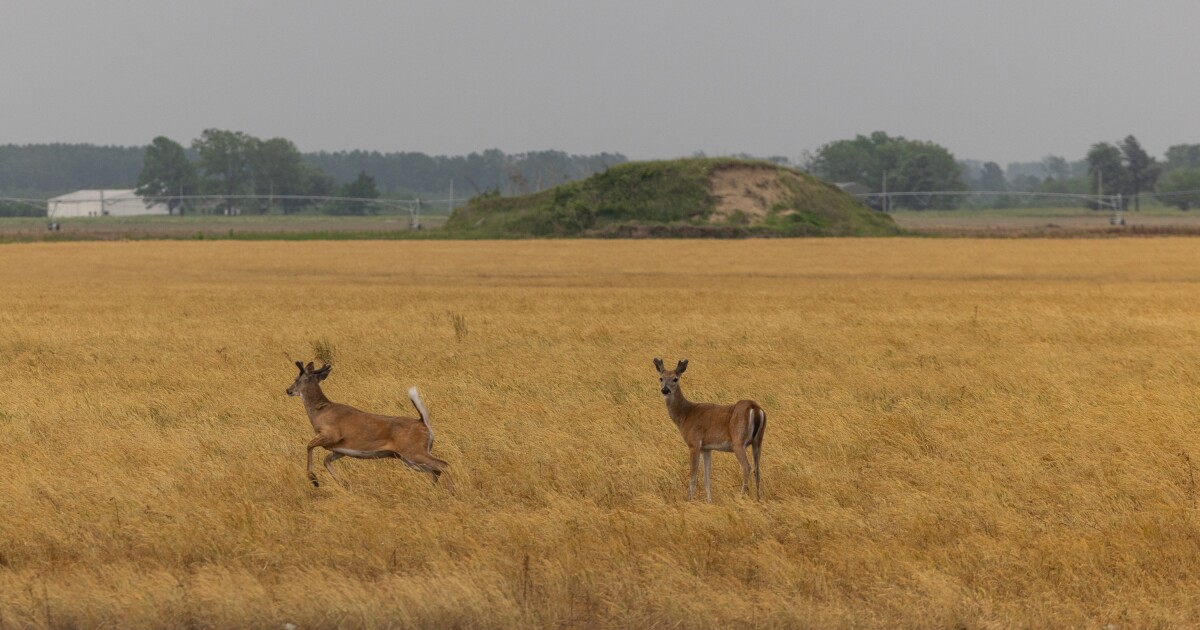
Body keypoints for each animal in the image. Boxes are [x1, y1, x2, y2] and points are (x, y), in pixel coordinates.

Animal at [286, 361, 450, 489]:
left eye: (296, 379)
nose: (288, 390)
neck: (320, 411)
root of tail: (423, 423)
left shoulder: (331, 435)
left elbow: (309, 446)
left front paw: (314, 480)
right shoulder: (339, 449)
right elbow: (326, 460)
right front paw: (344, 483)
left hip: (413, 452)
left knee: (443, 465)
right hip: (408, 459)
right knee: (435, 470)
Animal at [654, 358, 765, 502]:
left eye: (675, 379)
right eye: (661, 378)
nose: (665, 390)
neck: (685, 415)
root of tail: (755, 408)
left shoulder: (694, 443)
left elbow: (693, 476)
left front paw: (689, 499)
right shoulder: (706, 448)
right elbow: (706, 476)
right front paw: (709, 501)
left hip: (738, 441)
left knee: (747, 467)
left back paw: (741, 496)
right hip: (758, 440)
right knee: (758, 468)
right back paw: (758, 498)